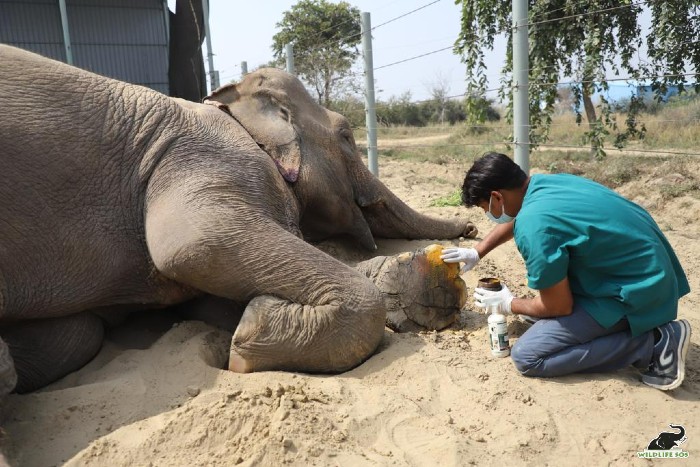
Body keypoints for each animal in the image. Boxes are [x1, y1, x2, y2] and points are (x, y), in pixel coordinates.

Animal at [0, 45, 476, 398]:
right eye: (345, 134)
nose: (470, 228)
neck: (232, 107)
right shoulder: (211, 159)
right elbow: (193, 245)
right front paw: (247, 341)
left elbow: (204, 296)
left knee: (76, 334)